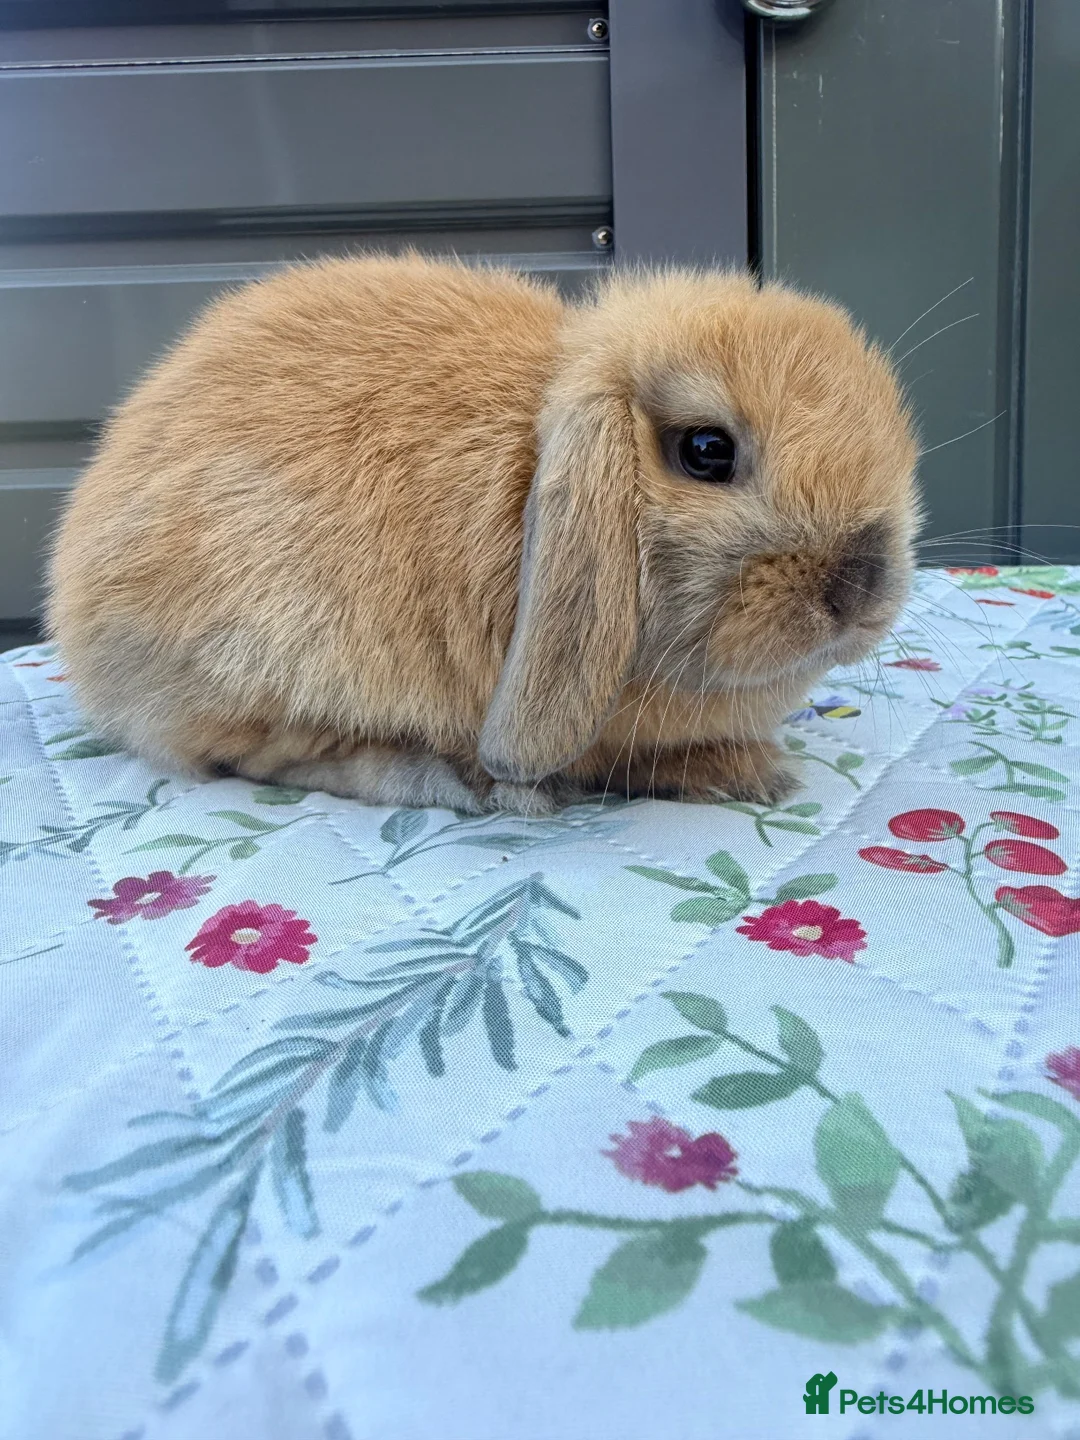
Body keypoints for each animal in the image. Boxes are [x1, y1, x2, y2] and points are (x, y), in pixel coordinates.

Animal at [47, 252, 919, 816]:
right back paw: (448, 780)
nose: (862, 587)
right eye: (707, 450)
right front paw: (750, 775)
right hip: (272, 642)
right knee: (258, 755)